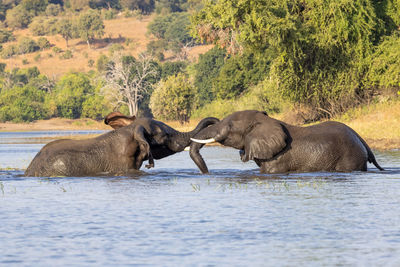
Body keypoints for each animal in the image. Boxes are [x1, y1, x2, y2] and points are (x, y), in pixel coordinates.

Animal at [189, 110, 382, 175]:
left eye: (229, 127)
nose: (207, 173)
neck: (266, 121)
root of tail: (359, 137)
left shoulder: (278, 160)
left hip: (350, 157)